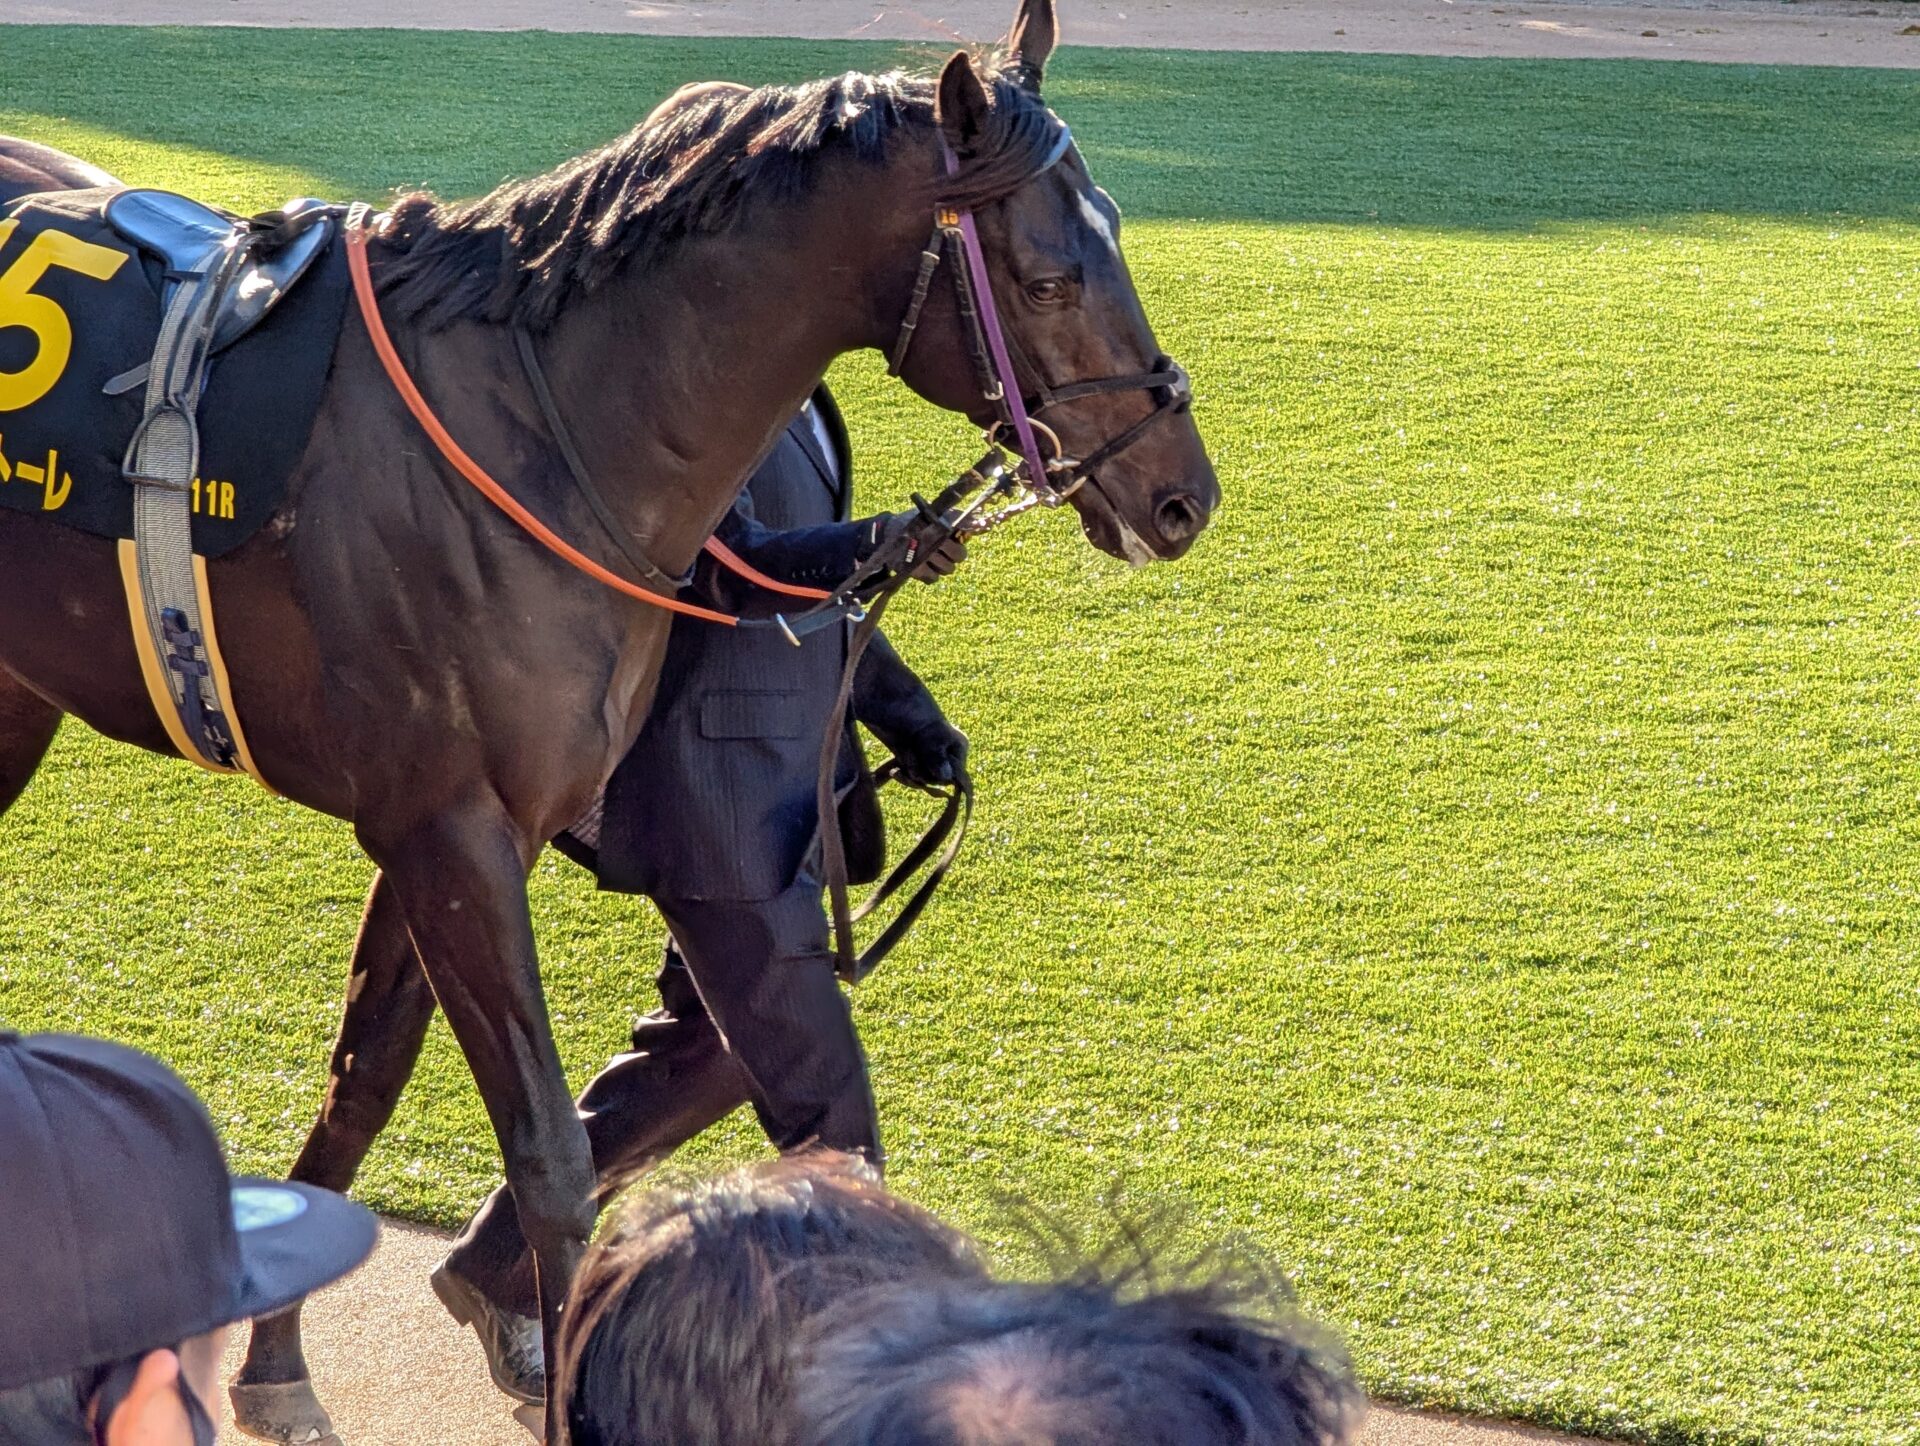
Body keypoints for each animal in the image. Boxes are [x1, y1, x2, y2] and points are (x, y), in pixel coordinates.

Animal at [3, 0, 1213, 1436]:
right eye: (1046, 279)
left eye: (1116, 232)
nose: (1183, 493)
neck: (543, 422)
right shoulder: (448, 831)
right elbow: (549, 1155)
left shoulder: (467, 827)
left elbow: (366, 1075)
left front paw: (278, 1359)